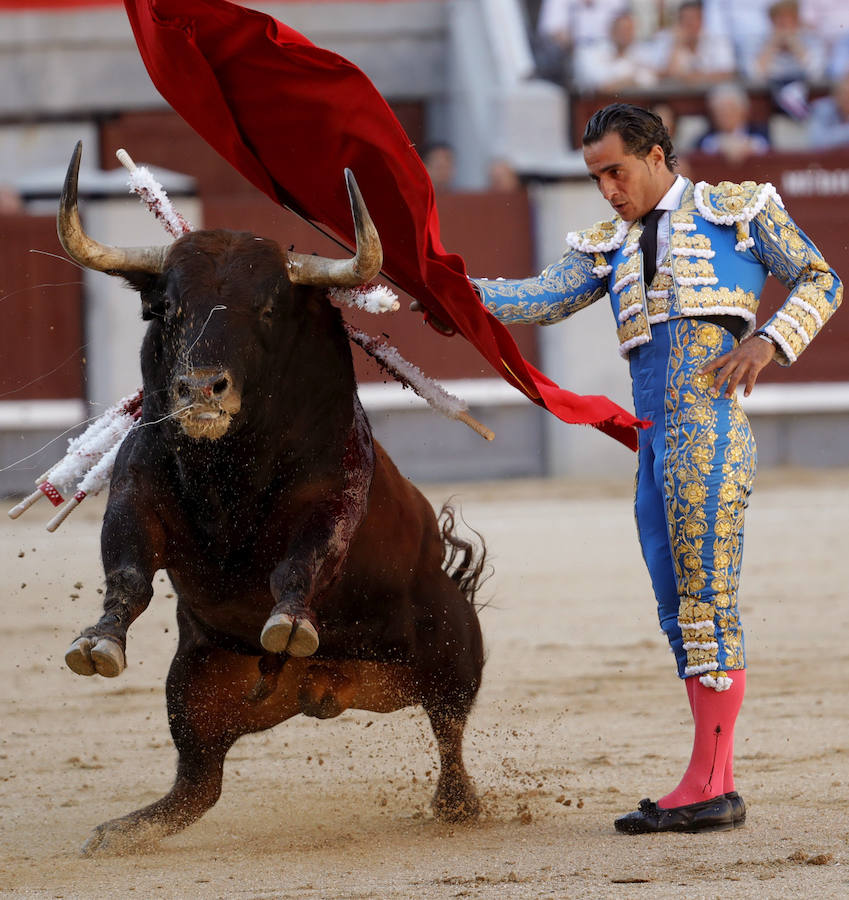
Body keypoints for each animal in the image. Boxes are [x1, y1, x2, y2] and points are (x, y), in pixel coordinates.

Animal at [58, 144, 484, 856]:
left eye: (266, 310)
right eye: (163, 309)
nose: (201, 389)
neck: (228, 470)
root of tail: (326, 689)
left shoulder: (331, 502)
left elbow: (299, 564)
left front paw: (288, 624)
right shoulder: (136, 493)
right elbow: (127, 570)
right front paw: (99, 642)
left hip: (452, 648)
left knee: (449, 728)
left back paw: (457, 803)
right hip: (193, 689)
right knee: (198, 782)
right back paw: (124, 831)